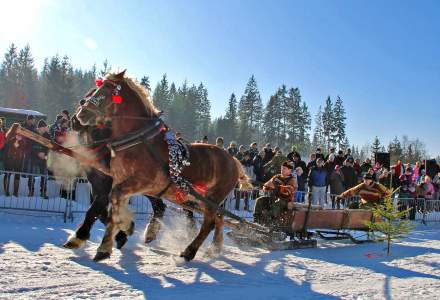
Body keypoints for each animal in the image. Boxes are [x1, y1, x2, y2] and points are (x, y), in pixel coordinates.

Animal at [75, 71, 251, 262]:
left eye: (106, 90)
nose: (81, 113)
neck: (139, 141)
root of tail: (233, 159)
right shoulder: (119, 181)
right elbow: (114, 207)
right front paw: (121, 232)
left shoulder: (141, 182)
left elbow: (114, 200)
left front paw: (108, 244)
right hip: (206, 199)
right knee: (219, 219)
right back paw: (215, 248)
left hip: (213, 198)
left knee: (209, 222)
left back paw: (189, 251)